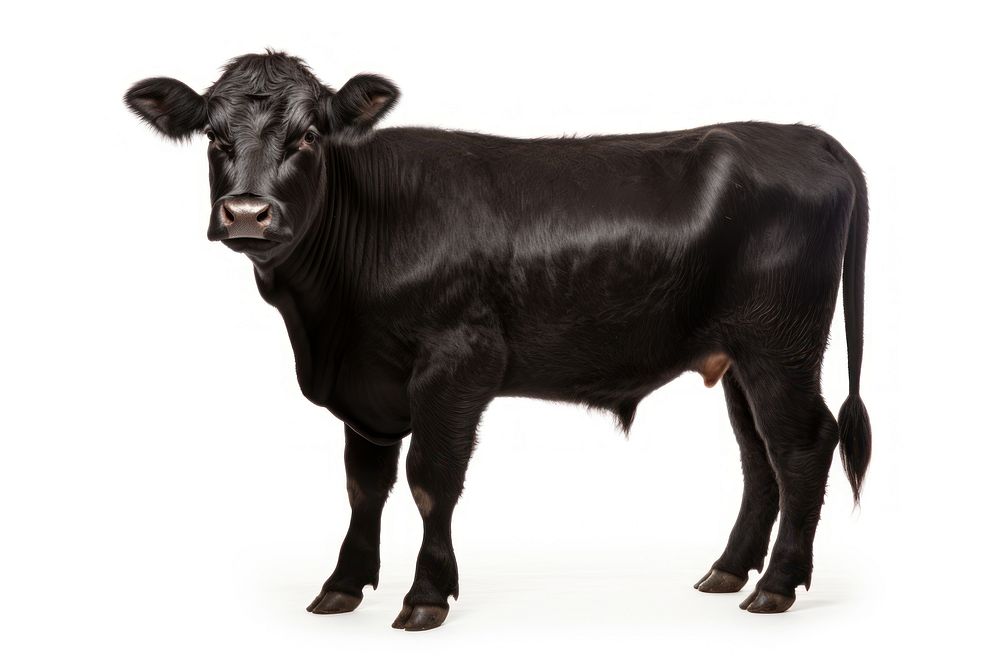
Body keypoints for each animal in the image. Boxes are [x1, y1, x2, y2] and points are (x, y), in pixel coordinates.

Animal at [125, 51, 872, 631]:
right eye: (213, 135)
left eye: (308, 136)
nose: (247, 213)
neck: (326, 324)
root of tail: (804, 137)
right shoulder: (366, 386)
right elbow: (364, 486)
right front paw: (341, 585)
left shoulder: (458, 363)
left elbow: (430, 479)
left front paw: (426, 595)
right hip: (740, 356)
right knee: (758, 456)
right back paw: (728, 571)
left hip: (781, 346)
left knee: (801, 444)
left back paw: (776, 585)